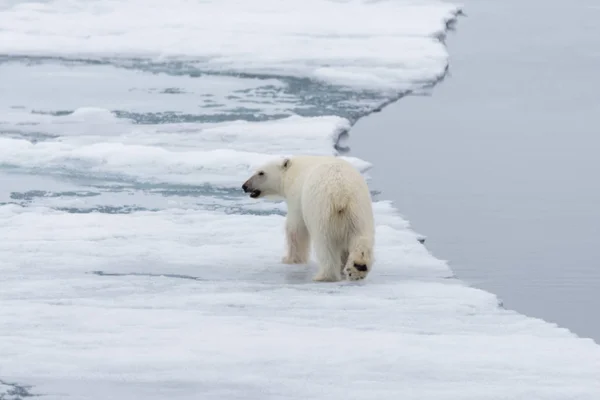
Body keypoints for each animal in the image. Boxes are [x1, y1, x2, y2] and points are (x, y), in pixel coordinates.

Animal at [240, 154, 372, 282]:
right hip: (358, 209)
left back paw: (324, 276)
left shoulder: (297, 196)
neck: (293, 171)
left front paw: (289, 259)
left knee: (325, 243)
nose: (244, 186)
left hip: (321, 210)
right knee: (361, 237)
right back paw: (358, 267)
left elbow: (295, 228)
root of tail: (341, 193)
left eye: (261, 172)